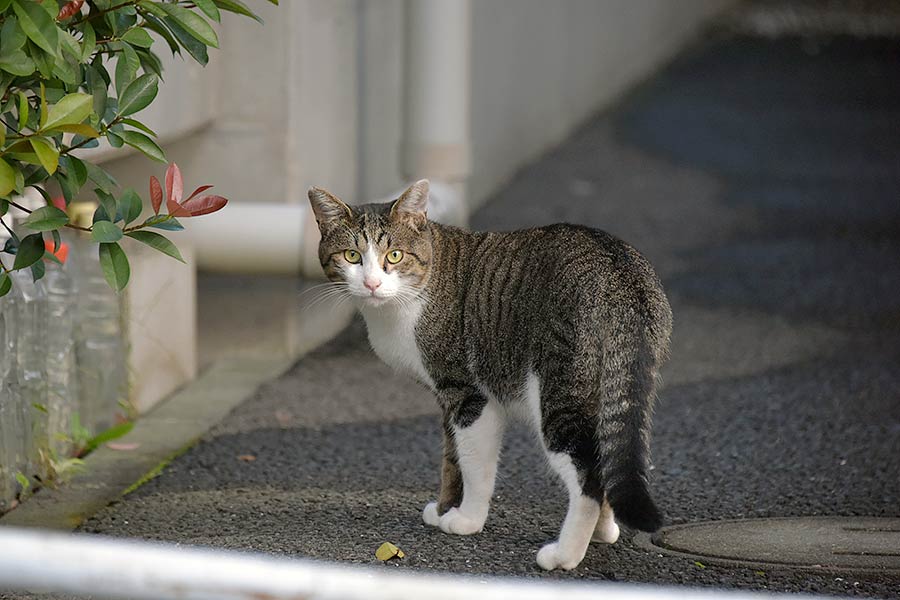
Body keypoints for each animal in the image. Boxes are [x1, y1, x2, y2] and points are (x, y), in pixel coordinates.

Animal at [308, 179, 668, 572]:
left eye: (395, 256)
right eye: (351, 256)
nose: (372, 283)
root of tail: (619, 274)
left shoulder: (468, 393)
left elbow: (473, 463)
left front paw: (467, 519)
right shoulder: (444, 396)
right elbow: (450, 457)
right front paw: (444, 508)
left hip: (560, 392)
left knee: (587, 473)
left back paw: (565, 554)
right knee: (608, 457)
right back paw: (602, 531)